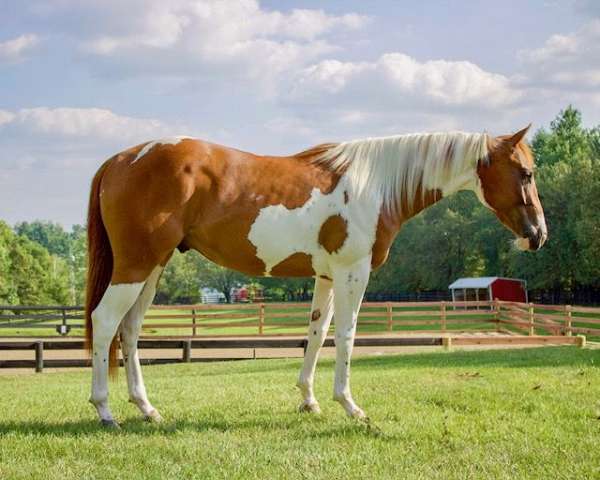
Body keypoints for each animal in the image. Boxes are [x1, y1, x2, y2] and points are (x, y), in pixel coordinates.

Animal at [85, 125, 548, 426]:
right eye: (526, 174)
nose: (538, 235)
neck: (375, 185)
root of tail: (119, 159)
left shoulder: (325, 277)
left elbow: (316, 333)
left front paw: (309, 401)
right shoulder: (351, 272)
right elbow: (346, 335)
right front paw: (350, 406)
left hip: (152, 268)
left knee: (130, 329)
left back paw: (147, 409)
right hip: (136, 265)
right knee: (106, 322)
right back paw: (105, 410)